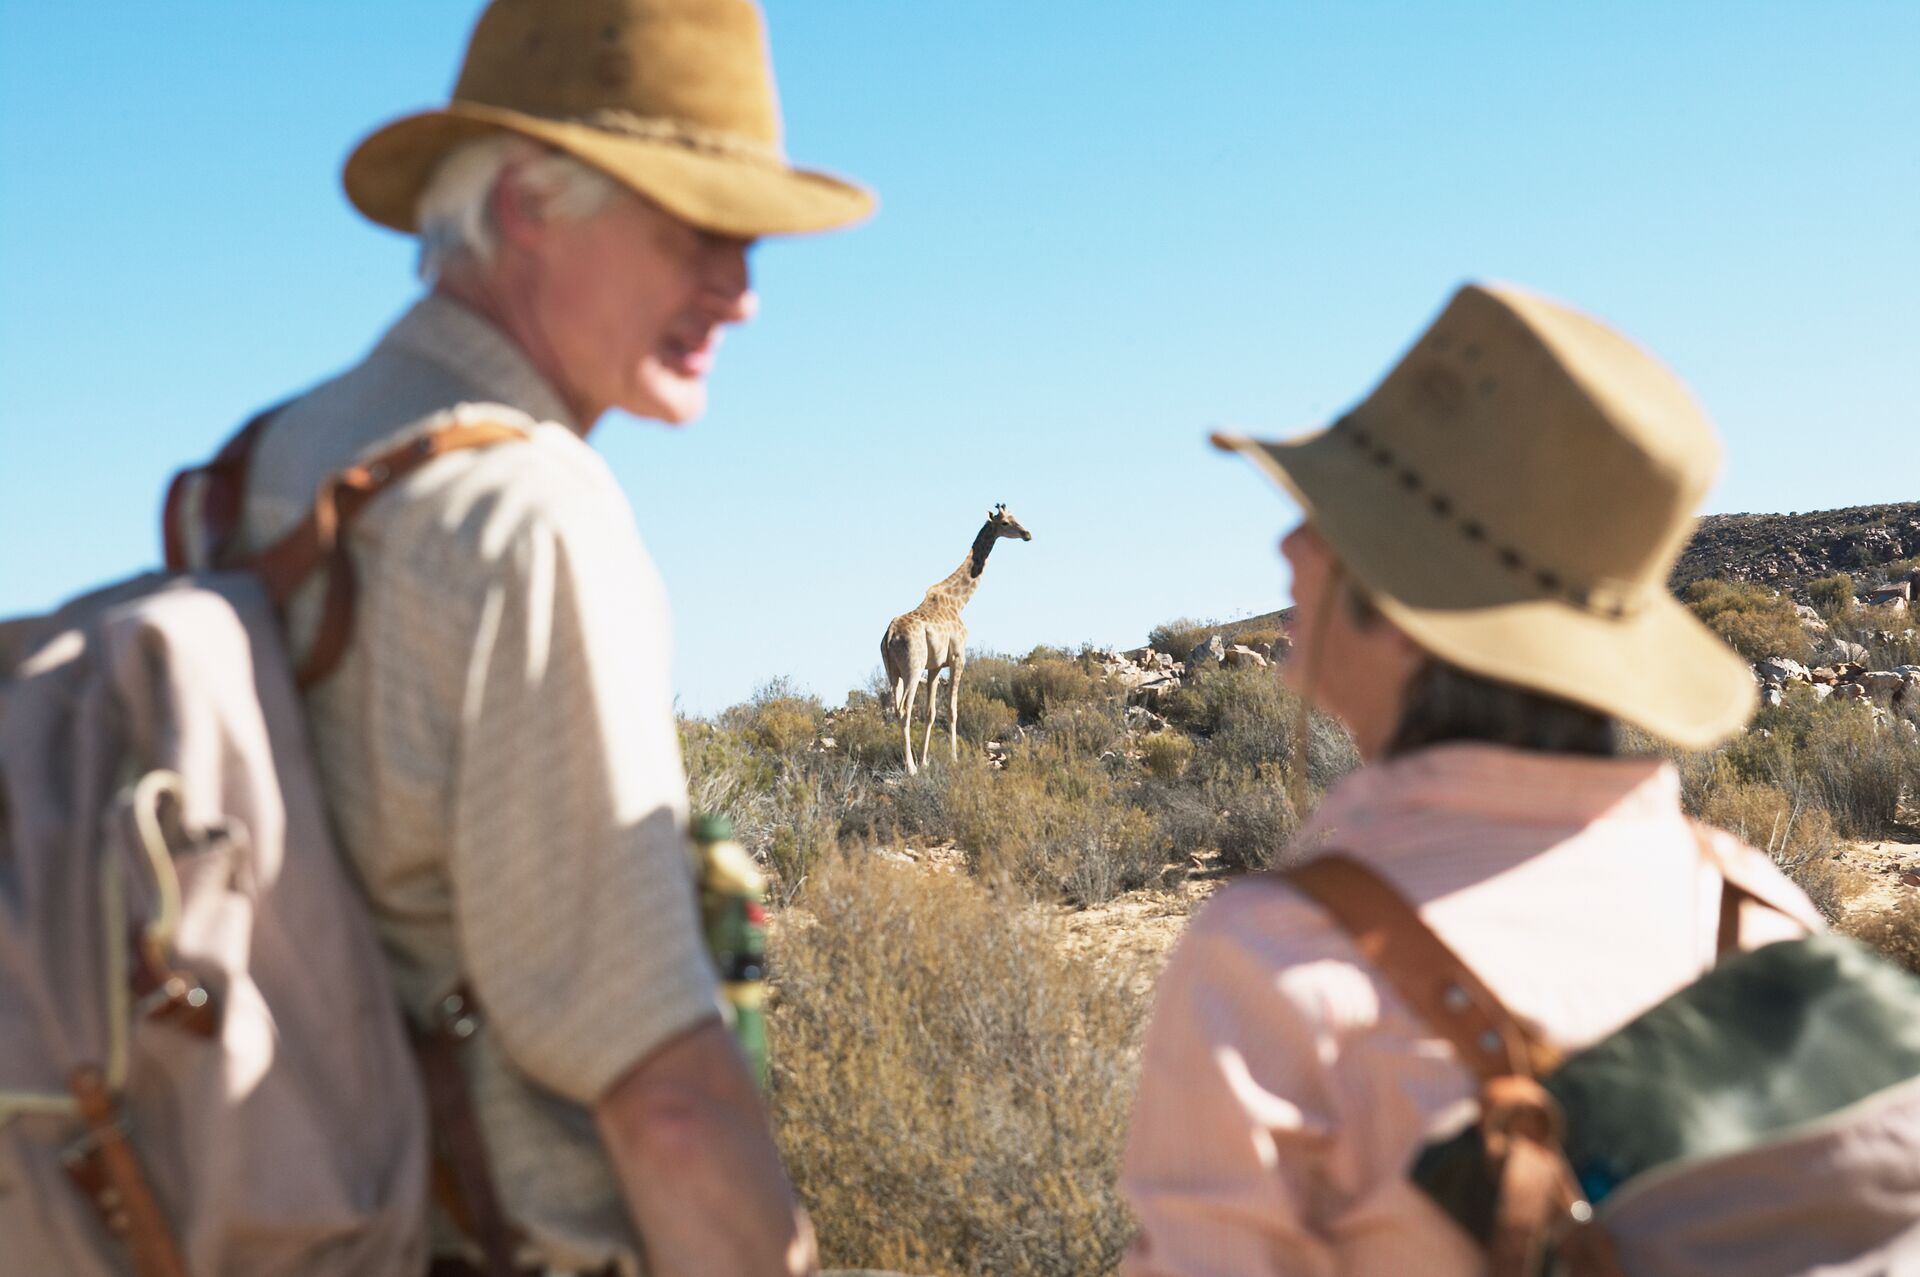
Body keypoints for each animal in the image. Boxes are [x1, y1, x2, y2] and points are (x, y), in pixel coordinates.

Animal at [881, 504, 1033, 775]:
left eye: (1015, 516)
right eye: (1005, 523)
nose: (1027, 534)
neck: (959, 602)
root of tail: (889, 636)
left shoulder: (934, 668)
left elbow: (930, 712)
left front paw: (926, 760)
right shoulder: (958, 658)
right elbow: (952, 710)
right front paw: (952, 758)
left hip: (893, 671)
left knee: (896, 709)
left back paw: (911, 762)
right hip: (912, 668)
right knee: (905, 709)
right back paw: (910, 767)